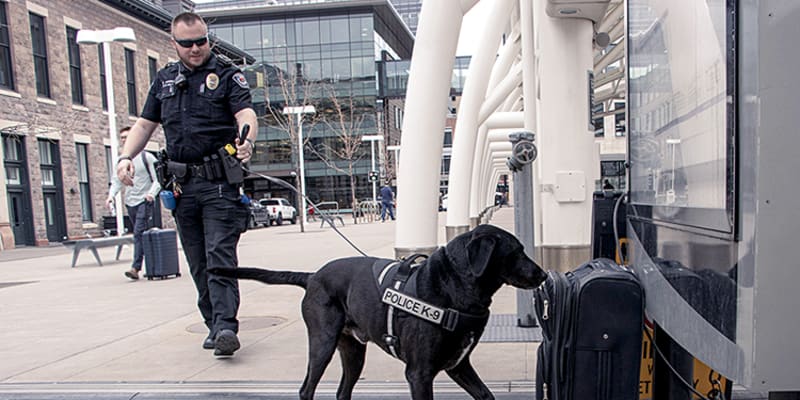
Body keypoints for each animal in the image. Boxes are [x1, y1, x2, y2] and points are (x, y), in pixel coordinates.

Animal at [216, 225, 548, 400]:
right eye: (517, 251)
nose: (544, 274)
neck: (452, 288)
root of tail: (312, 276)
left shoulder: (458, 365)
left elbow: (486, 394)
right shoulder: (419, 373)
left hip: (353, 352)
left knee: (342, 392)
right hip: (322, 344)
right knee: (306, 389)